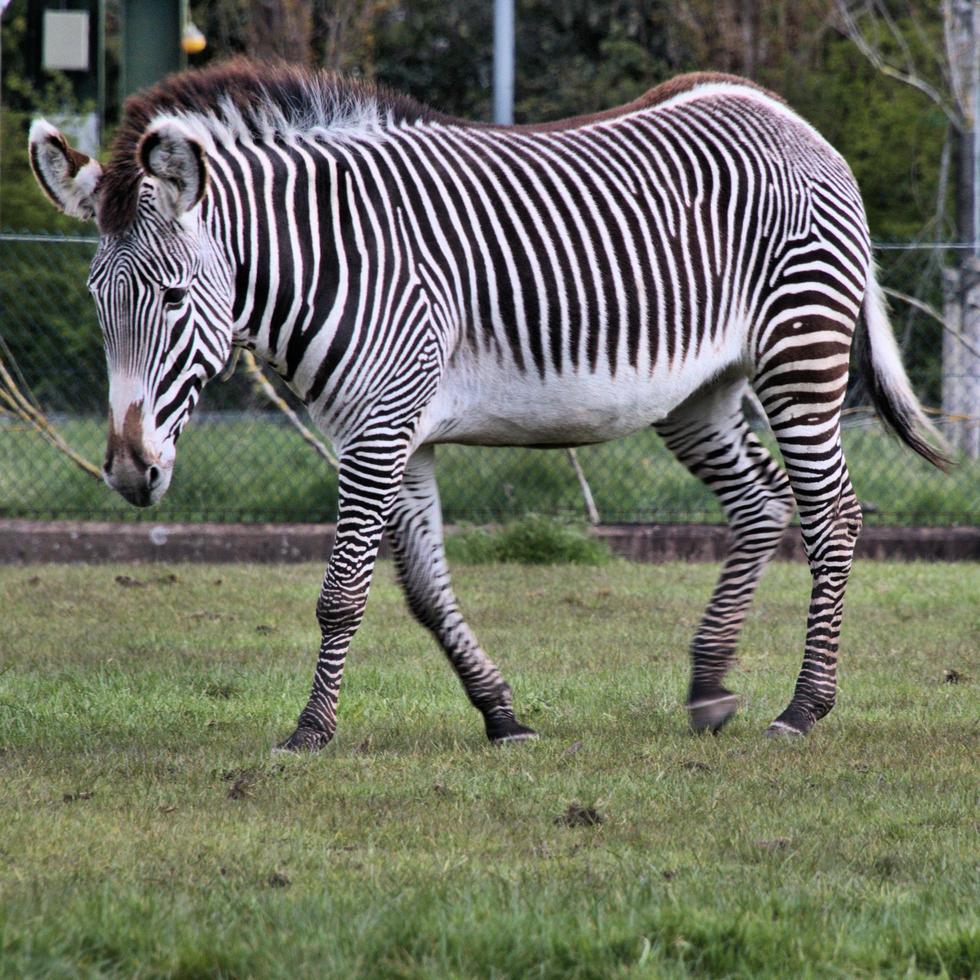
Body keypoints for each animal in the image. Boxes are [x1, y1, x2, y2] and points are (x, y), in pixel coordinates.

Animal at [28, 61, 948, 752]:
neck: (331, 261)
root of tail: (782, 113)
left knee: (834, 515)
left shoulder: (380, 426)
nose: (130, 474)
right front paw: (502, 715)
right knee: (761, 504)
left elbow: (342, 592)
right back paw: (710, 687)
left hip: (801, 353)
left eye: (175, 298)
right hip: (699, 391)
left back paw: (804, 707)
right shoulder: (392, 434)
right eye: (98, 302)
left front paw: (310, 731)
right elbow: (427, 594)